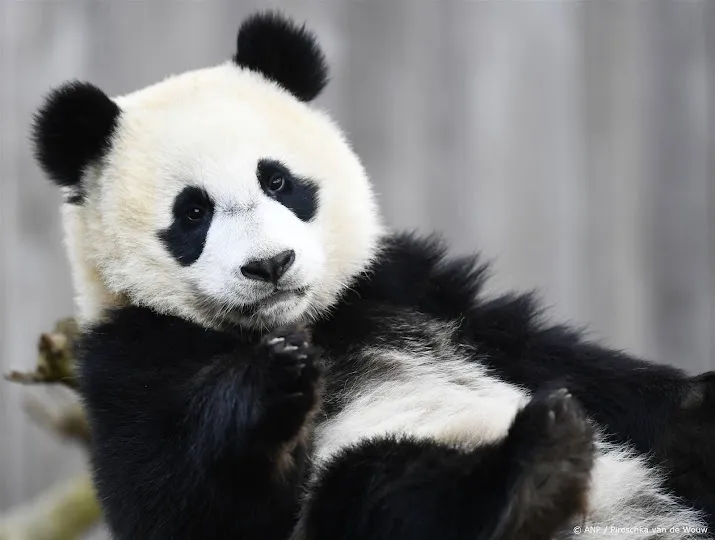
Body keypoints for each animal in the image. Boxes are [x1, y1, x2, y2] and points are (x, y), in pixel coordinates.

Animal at [32, 9, 715, 540]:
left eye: (277, 180)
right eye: (192, 213)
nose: (270, 265)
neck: (304, 322)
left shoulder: (405, 285)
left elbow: (556, 358)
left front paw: (695, 405)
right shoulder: (128, 359)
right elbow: (179, 503)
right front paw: (274, 382)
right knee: (379, 483)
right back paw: (533, 475)